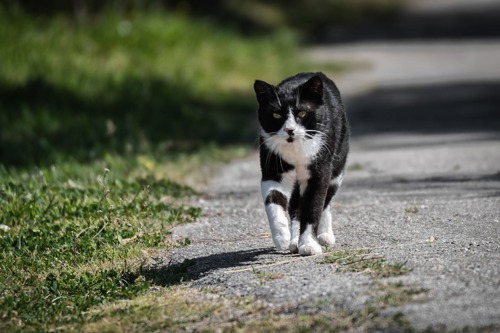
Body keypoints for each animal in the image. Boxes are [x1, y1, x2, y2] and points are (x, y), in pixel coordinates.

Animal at [254, 71, 348, 255]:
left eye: (302, 113)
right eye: (276, 115)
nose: (290, 129)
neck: (295, 150)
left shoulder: (318, 172)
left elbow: (313, 207)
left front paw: (309, 245)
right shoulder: (272, 168)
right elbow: (273, 199)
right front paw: (281, 236)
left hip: (337, 165)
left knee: (325, 201)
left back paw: (325, 235)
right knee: (295, 206)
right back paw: (293, 241)